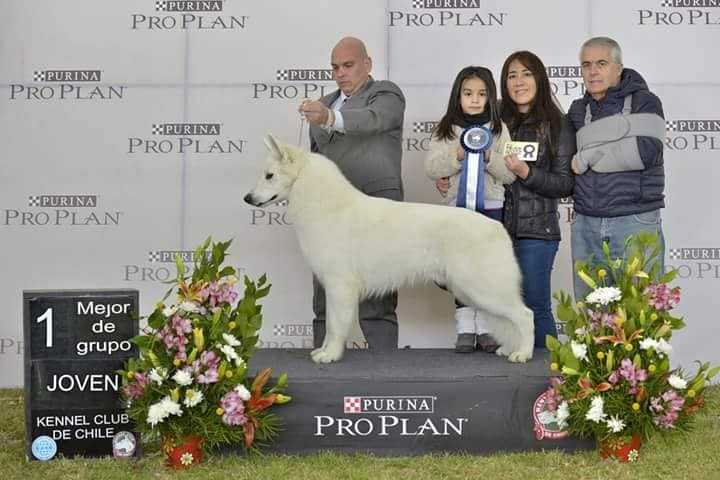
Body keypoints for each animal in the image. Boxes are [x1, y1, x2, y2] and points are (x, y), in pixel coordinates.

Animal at [246, 135, 536, 364]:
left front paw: (331, 355)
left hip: (483, 289)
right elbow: (329, 325)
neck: (326, 205)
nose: (247, 198)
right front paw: (325, 351)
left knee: (525, 315)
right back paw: (509, 349)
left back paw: (523, 354)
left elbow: (336, 325)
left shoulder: (340, 286)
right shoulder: (332, 287)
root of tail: (498, 228)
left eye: (269, 176)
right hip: (476, 291)